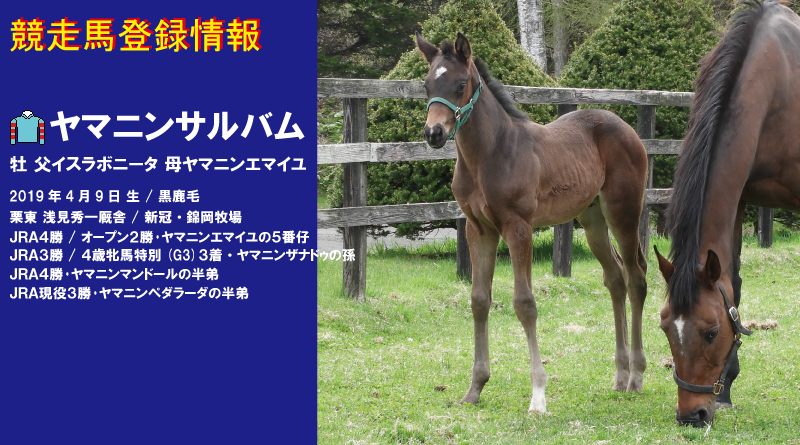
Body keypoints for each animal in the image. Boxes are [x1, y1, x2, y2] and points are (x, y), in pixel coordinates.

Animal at [415, 32, 649, 413]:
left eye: (461, 83)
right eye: (426, 85)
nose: (433, 133)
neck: (489, 154)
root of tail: (626, 128)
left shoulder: (518, 227)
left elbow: (524, 304)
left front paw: (538, 395)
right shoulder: (478, 229)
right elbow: (479, 300)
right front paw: (475, 388)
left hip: (623, 212)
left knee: (636, 277)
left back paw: (637, 376)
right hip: (592, 217)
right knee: (615, 278)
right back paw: (619, 375)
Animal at [654, 1, 800, 428]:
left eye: (710, 331)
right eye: (666, 328)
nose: (692, 415)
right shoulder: (738, 200)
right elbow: (733, 281)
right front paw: (727, 391)